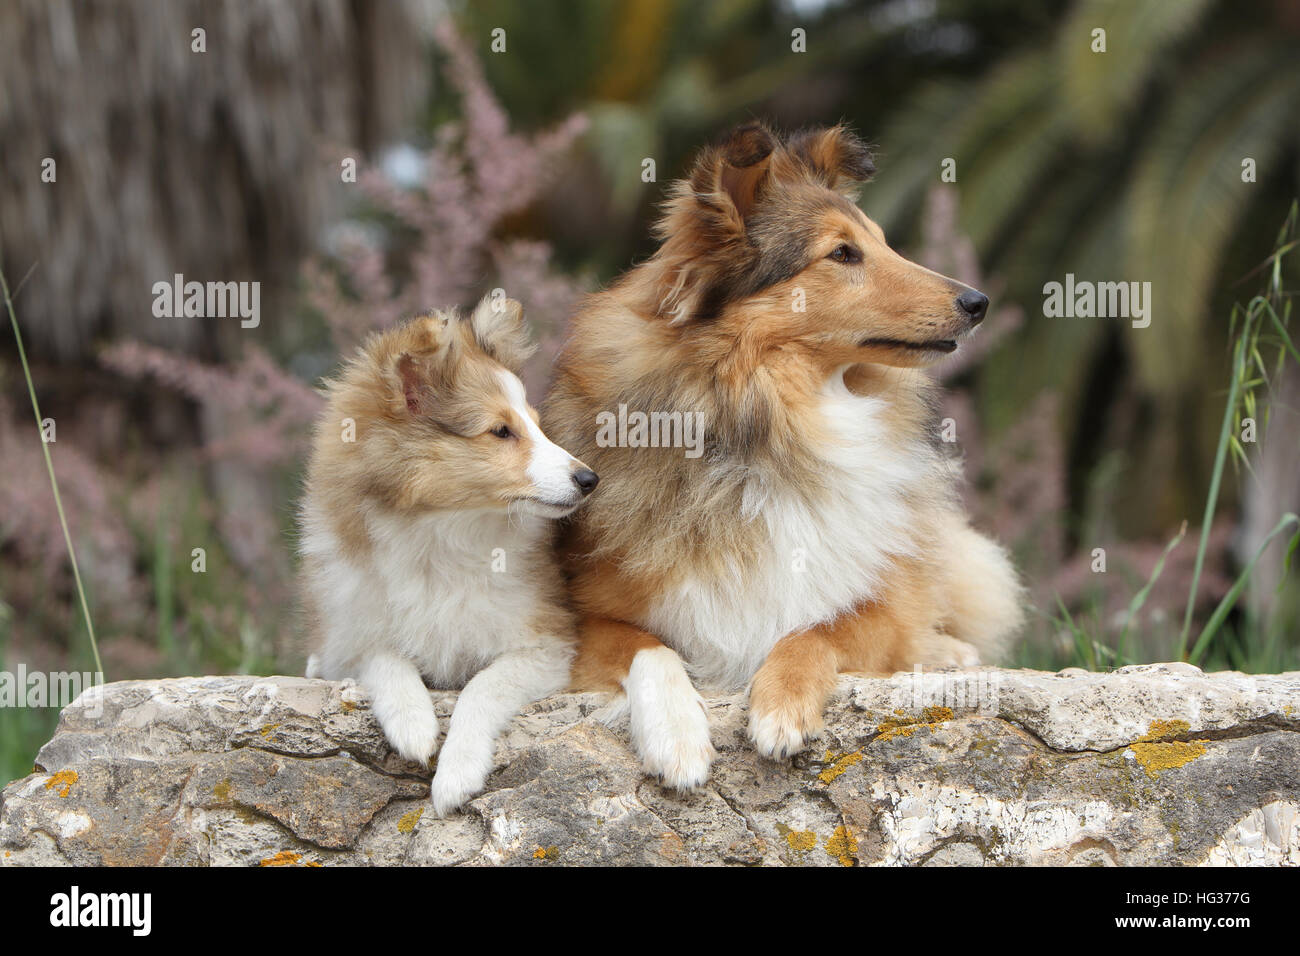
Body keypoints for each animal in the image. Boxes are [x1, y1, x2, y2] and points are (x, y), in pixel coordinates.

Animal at [300, 293, 598, 816]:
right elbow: (384, 659)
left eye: (538, 426)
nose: (589, 479)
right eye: (501, 431)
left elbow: (482, 688)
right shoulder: (353, 638)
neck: (443, 534)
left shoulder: (546, 646)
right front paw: (413, 727)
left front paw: (456, 775)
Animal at [543, 123, 1019, 790]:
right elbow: (648, 648)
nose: (979, 302)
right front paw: (676, 736)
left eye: (881, 242)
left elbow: (818, 629)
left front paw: (780, 707)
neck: (765, 426)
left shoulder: (879, 602)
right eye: (843, 254)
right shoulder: (578, 619)